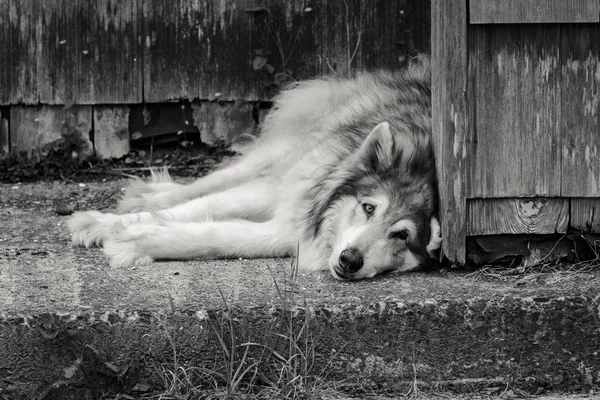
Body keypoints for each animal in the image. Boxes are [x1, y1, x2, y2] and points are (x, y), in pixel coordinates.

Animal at [69, 57, 440, 280]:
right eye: (368, 208)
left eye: (402, 236)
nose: (350, 261)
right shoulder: (291, 192)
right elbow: (202, 206)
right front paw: (102, 223)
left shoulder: (285, 231)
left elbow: (213, 237)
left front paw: (136, 240)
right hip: (290, 152)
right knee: (218, 180)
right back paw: (147, 196)